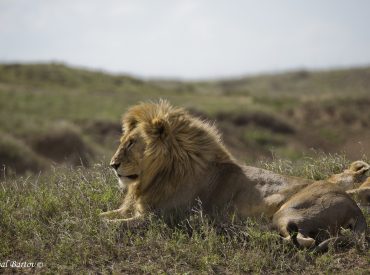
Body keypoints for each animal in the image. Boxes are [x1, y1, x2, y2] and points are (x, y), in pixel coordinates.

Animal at [102, 101, 368, 250]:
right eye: (124, 141)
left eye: (131, 143)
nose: (113, 165)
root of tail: (354, 206)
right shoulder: (138, 210)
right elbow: (103, 215)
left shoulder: (160, 218)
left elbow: (111, 225)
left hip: (288, 212)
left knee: (304, 241)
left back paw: (243, 233)